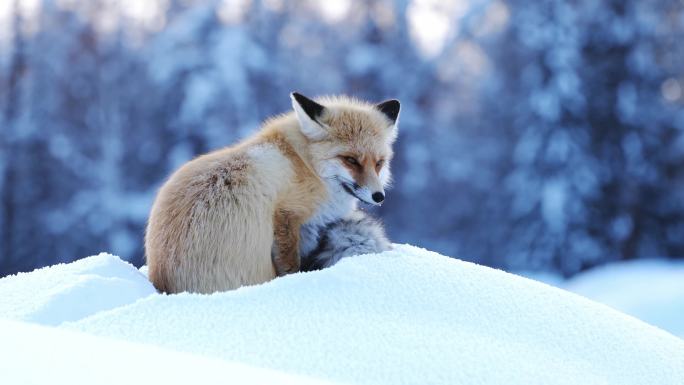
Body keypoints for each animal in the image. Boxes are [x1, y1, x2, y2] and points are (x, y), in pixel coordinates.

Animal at [146, 91, 400, 292]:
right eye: (351, 160)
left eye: (379, 163)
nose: (379, 196)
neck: (304, 163)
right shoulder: (287, 216)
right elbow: (291, 264)